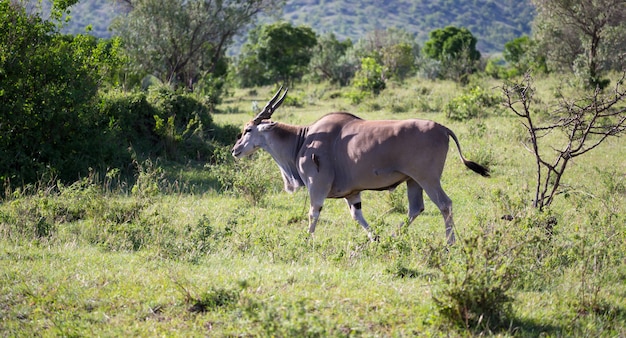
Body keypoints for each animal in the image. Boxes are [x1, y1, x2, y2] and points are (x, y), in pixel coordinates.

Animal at [230, 87, 488, 246]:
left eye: (248, 129)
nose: (235, 150)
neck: (303, 139)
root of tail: (442, 128)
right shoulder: (352, 193)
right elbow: (357, 215)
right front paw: (375, 238)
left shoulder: (317, 186)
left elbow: (313, 213)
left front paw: (306, 240)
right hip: (413, 181)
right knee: (416, 209)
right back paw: (394, 236)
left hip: (428, 179)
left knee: (445, 204)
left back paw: (449, 243)